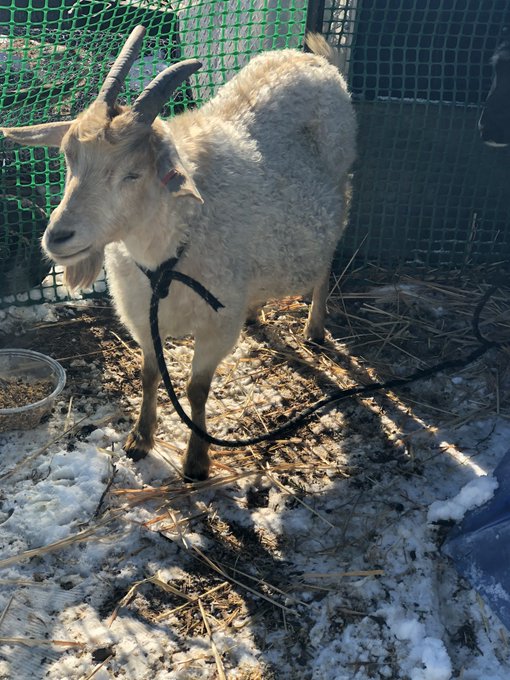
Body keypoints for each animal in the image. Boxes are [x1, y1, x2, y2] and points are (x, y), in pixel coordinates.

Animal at [1, 26, 356, 480]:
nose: (58, 237)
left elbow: (196, 389)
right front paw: (140, 438)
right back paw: (256, 311)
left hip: (342, 188)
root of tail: (311, 59)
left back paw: (314, 326)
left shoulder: (217, 325)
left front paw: (196, 460)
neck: (169, 250)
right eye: (68, 159)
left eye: (134, 173)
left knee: (327, 259)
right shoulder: (141, 316)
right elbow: (150, 373)